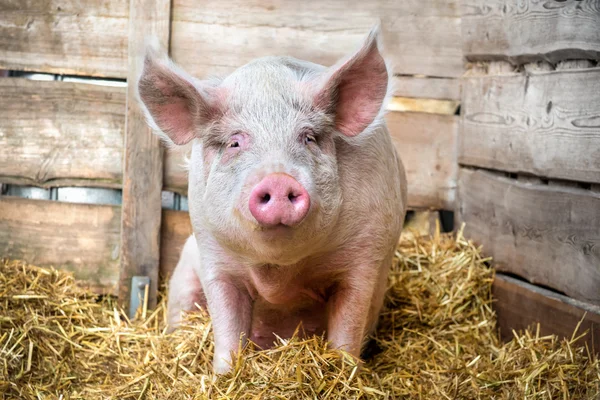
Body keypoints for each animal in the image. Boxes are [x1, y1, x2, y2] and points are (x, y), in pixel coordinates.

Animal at [137, 26, 408, 374]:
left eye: (308, 138)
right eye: (235, 142)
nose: (278, 178)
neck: (279, 273)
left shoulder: (365, 256)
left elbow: (348, 326)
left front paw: (344, 371)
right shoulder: (213, 254)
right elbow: (227, 326)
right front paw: (224, 375)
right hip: (184, 268)